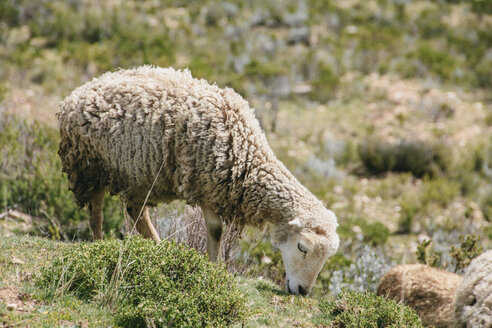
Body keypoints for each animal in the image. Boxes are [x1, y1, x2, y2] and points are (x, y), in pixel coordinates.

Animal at [56, 65, 338, 296]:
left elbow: (215, 232)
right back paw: (100, 243)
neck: (247, 156)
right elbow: (215, 231)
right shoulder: (207, 187)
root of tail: (74, 95)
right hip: (89, 165)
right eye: (302, 247)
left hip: (139, 175)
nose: (302, 291)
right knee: (96, 209)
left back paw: (158, 247)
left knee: (136, 211)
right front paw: (215, 267)